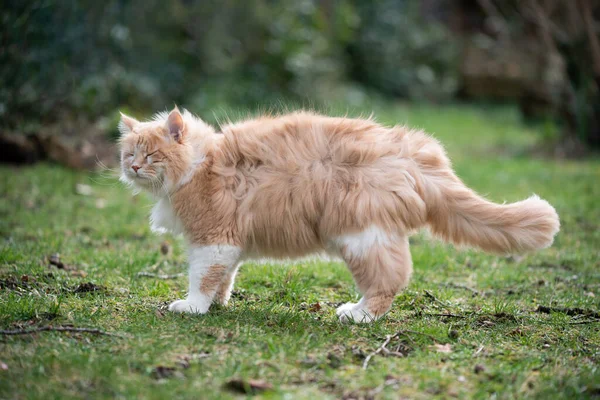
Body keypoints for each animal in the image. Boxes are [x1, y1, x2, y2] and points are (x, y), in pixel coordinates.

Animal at [119, 108, 560, 324]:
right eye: (128, 154)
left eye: (151, 155)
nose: (135, 168)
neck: (201, 162)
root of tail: (411, 153)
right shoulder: (226, 244)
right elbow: (224, 278)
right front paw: (218, 304)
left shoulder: (212, 239)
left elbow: (201, 278)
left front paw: (193, 307)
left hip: (363, 237)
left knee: (389, 281)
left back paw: (358, 315)